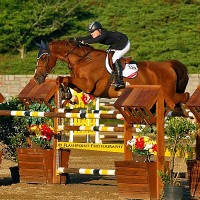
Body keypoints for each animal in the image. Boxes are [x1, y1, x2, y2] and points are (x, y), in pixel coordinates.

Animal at [34, 39, 189, 109]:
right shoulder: (80, 84)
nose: (36, 78)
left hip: (169, 94)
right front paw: (67, 94)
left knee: (182, 97)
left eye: (43, 58)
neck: (82, 59)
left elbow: (65, 79)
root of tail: (169, 65)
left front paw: (66, 94)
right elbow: (63, 79)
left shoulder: (88, 85)